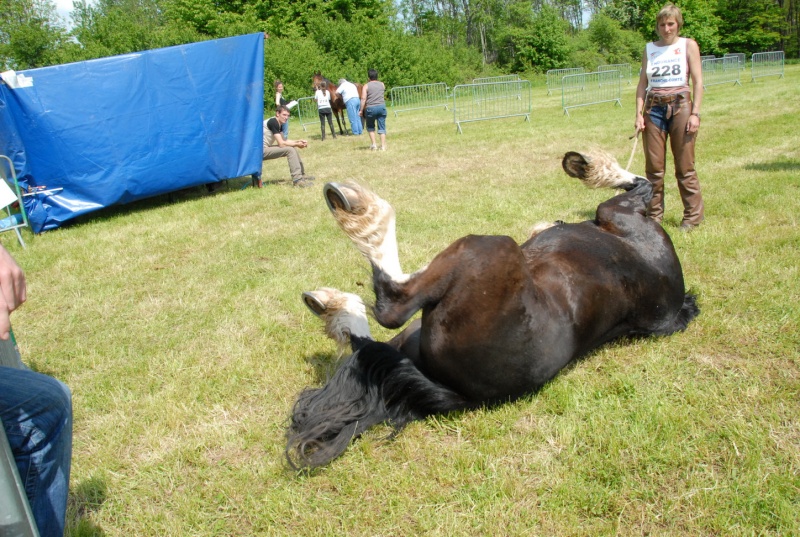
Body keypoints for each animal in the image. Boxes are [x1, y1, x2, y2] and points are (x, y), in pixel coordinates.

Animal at [288, 149, 700, 466]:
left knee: (392, 305)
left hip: (487, 248)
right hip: (413, 336)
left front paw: (585, 165)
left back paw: (354, 211)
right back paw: (334, 307)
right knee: (371, 337)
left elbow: (640, 183)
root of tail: (459, 393)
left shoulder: (614, 212)